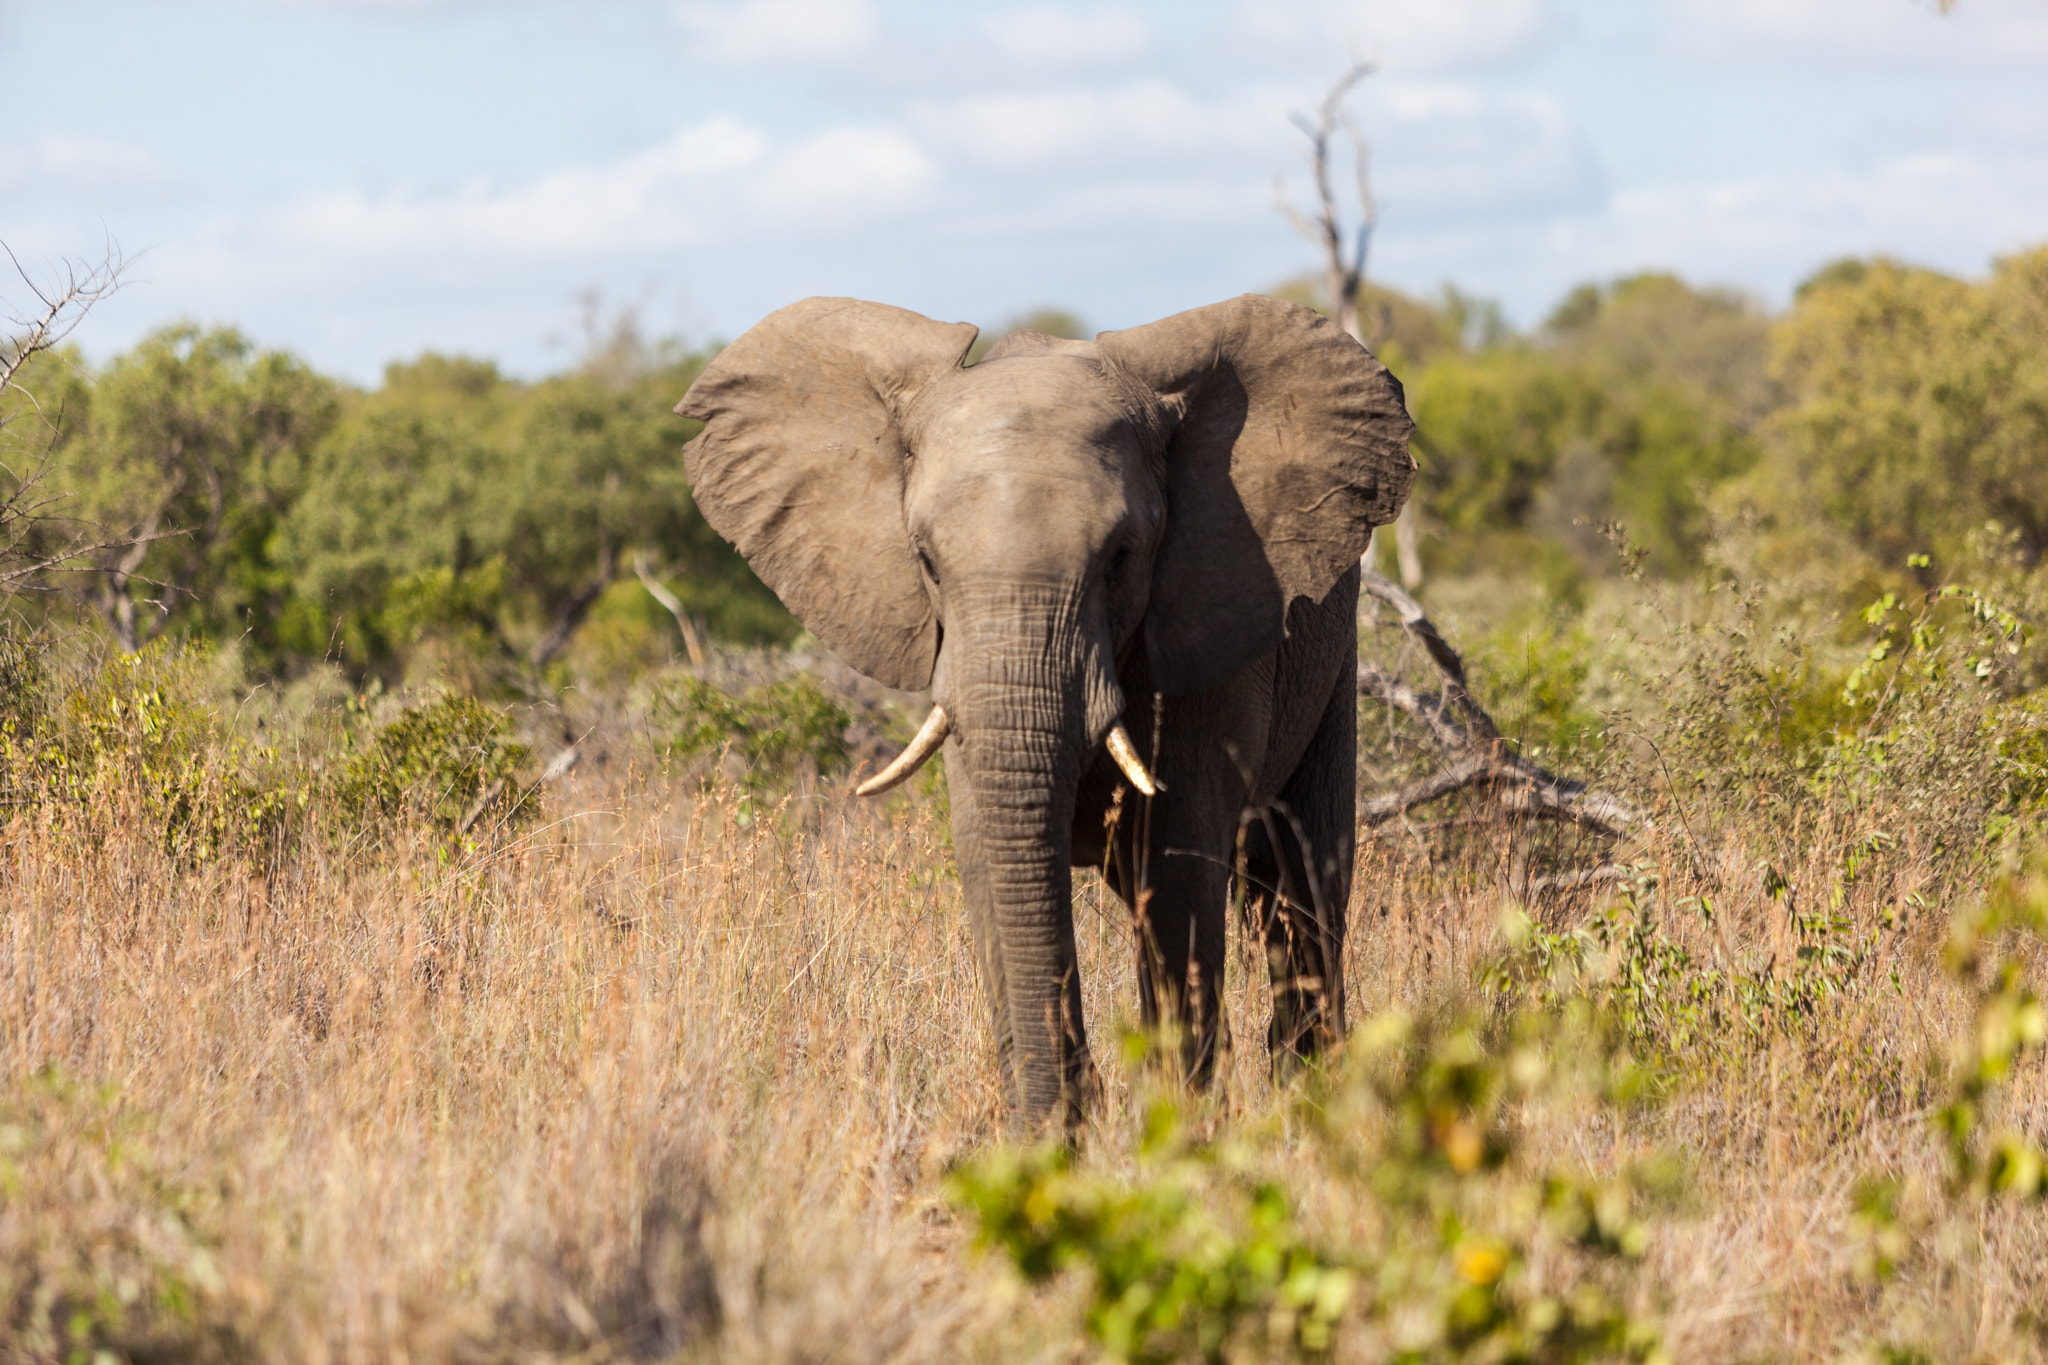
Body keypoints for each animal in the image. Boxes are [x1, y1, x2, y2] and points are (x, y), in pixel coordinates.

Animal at [679, 296, 1417, 1129]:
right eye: (925, 562)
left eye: (1121, 557)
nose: (1080, 1105)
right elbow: (988, 863)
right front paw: (1052, 1136)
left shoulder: (1206, 632)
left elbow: (1178, 864)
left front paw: (1175, 1129)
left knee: (1300, 886)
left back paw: (1313, 1101)